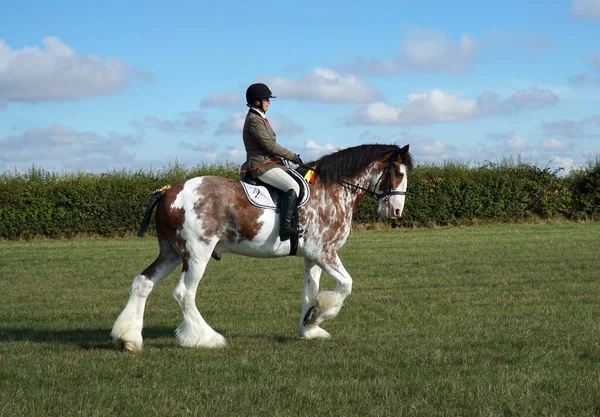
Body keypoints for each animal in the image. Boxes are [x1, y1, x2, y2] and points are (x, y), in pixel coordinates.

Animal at [110, 141, 412, 350]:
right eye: (398, 173)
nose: (396, 211)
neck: (331, 190)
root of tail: (168, 193)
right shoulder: (324, 252)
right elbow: (346, 285)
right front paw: (318, 315)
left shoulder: (312, 256)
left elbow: (310, 292)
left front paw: (310, 327)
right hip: (197, 253)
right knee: (184, 293)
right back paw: (207, 338)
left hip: (172, 252)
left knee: (143, 282)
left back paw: (129, 338)